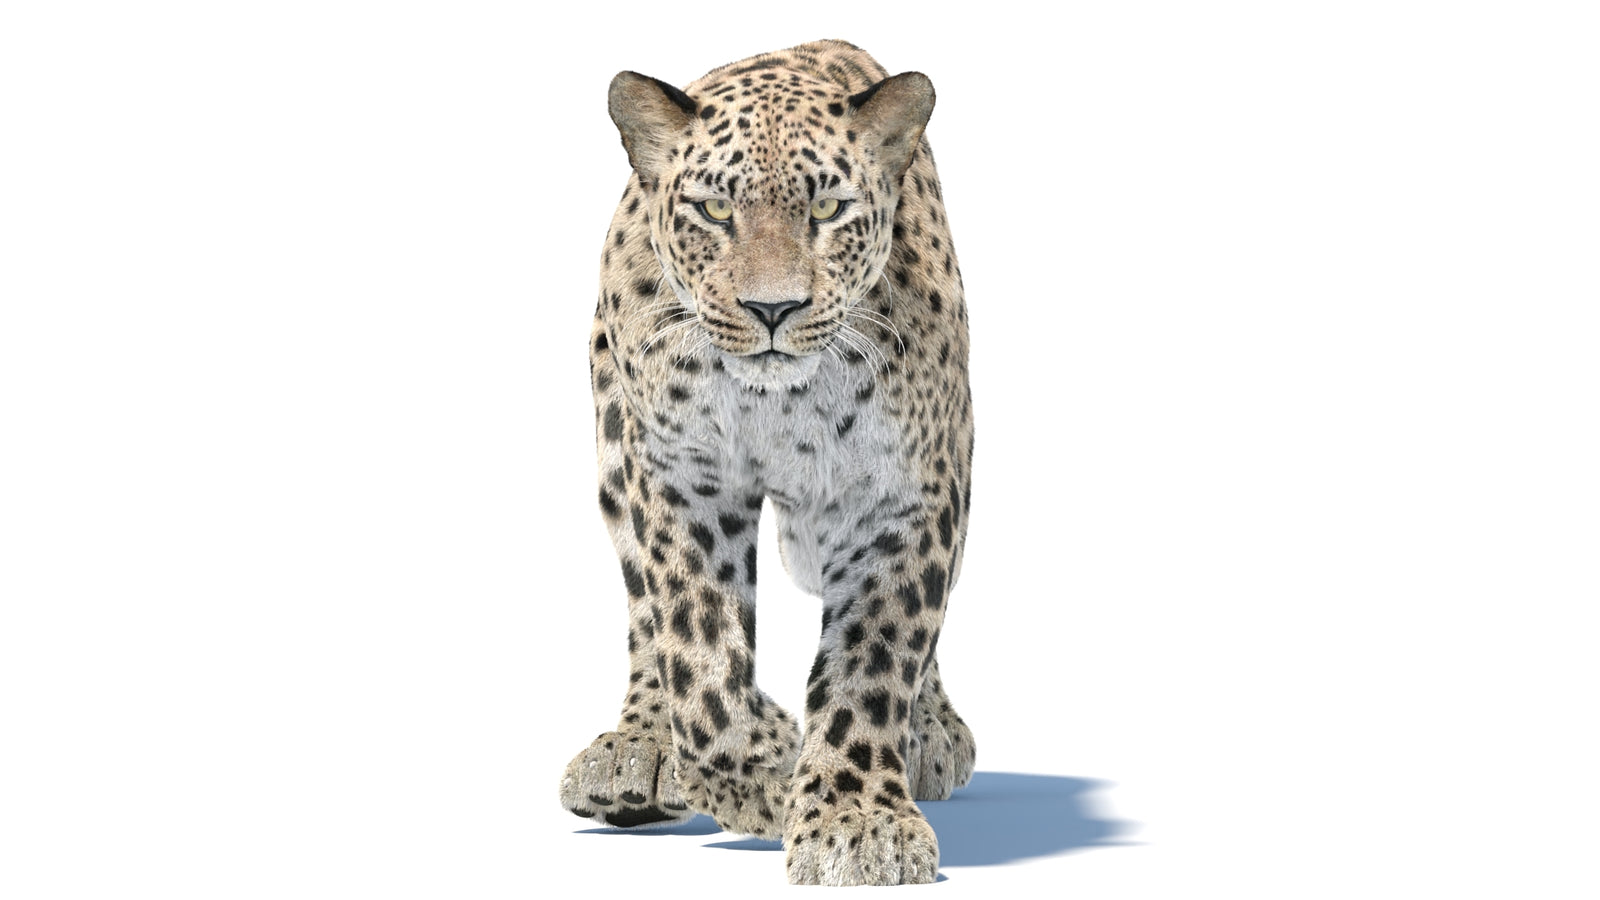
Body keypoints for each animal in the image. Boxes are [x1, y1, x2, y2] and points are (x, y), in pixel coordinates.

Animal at [558, 39, 975, 886]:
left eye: (828, 211)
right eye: (716, 212)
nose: (773, 309)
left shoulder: (905, 496)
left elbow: (875, 661)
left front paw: (857, 821)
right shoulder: (682, 480)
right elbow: (698, 659)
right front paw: (762, 774)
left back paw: (932, 733)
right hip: (617, 451)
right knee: (644, 613)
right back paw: (639, 751)